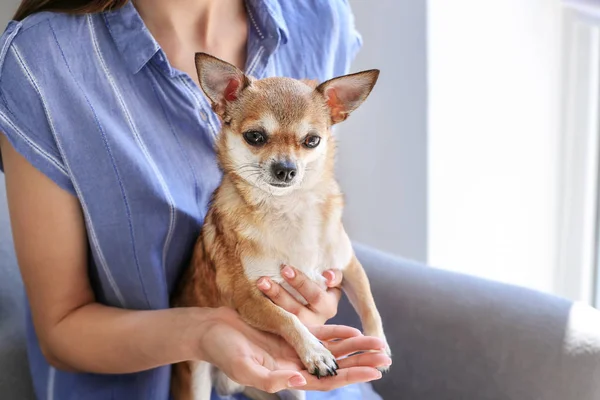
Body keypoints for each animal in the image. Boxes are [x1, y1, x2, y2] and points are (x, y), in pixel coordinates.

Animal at [172, 54, 390, 400]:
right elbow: (287, 318)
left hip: (292, 391)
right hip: (195, 380)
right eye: (255, 137)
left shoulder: (348, 267)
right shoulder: (248, 298)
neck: (289, 208)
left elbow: (370, 305)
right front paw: (316, 352)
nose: (286, 169)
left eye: (312, 140)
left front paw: (379, 345)